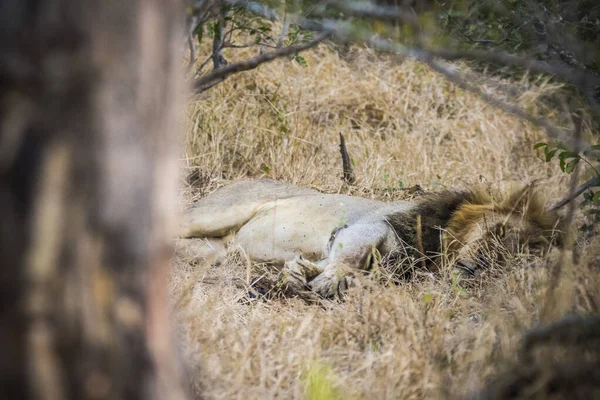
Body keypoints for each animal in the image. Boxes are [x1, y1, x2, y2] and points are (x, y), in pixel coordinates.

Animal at [178, 180, 564, 298]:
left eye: (511, 259)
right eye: (498, 232)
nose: (476, 266)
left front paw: (303, 274)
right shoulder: (375, 224)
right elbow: (349, 255)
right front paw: (327, 279)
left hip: (217, 251)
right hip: (216, 213)